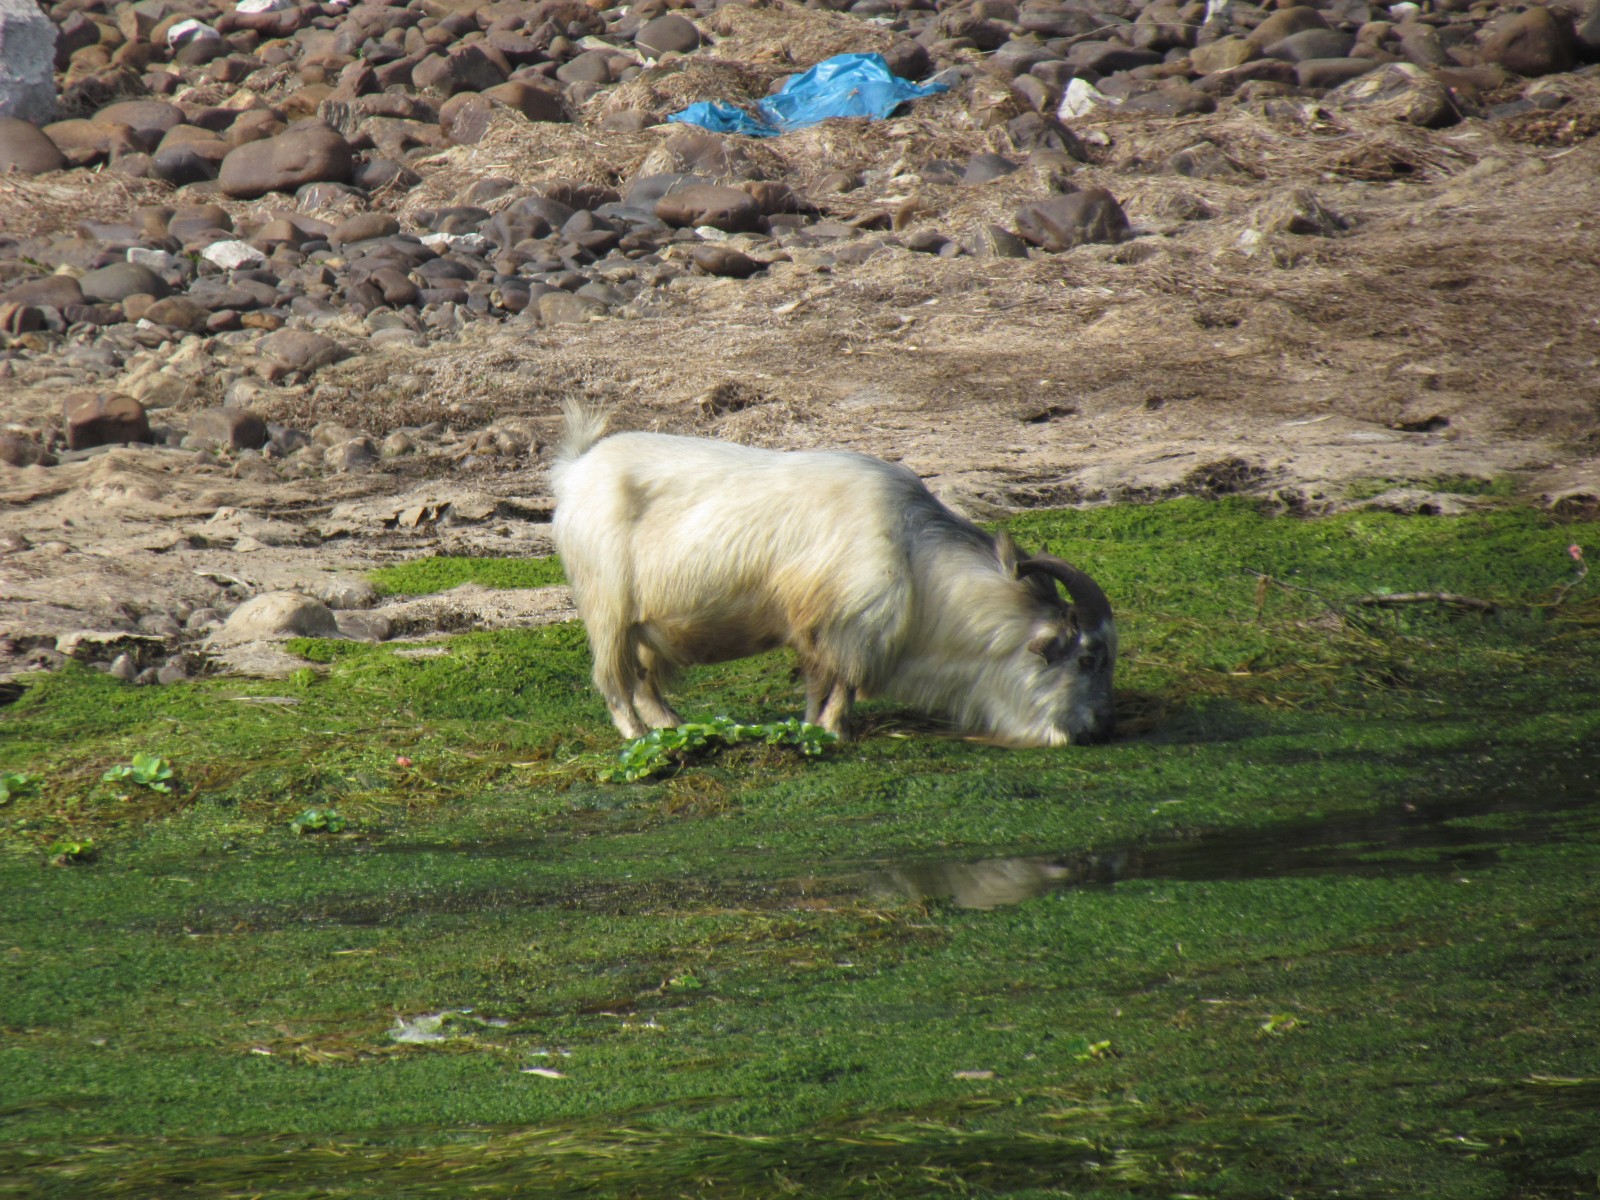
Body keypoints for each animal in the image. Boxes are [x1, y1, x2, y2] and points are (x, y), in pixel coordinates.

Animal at [551, 404, 1117, 746]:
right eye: (1087, 656)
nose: (1096, 728)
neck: (912, 553)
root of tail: (576, 471)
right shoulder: (849, 623)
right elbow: (841, 682)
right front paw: (832, 732)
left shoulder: (826, 630)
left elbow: (820, 683)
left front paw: (812, 727)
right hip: (606, 612)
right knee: (613, 682)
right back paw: (639, 738)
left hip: (643, 627)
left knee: (644, 680)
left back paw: (675, 727)